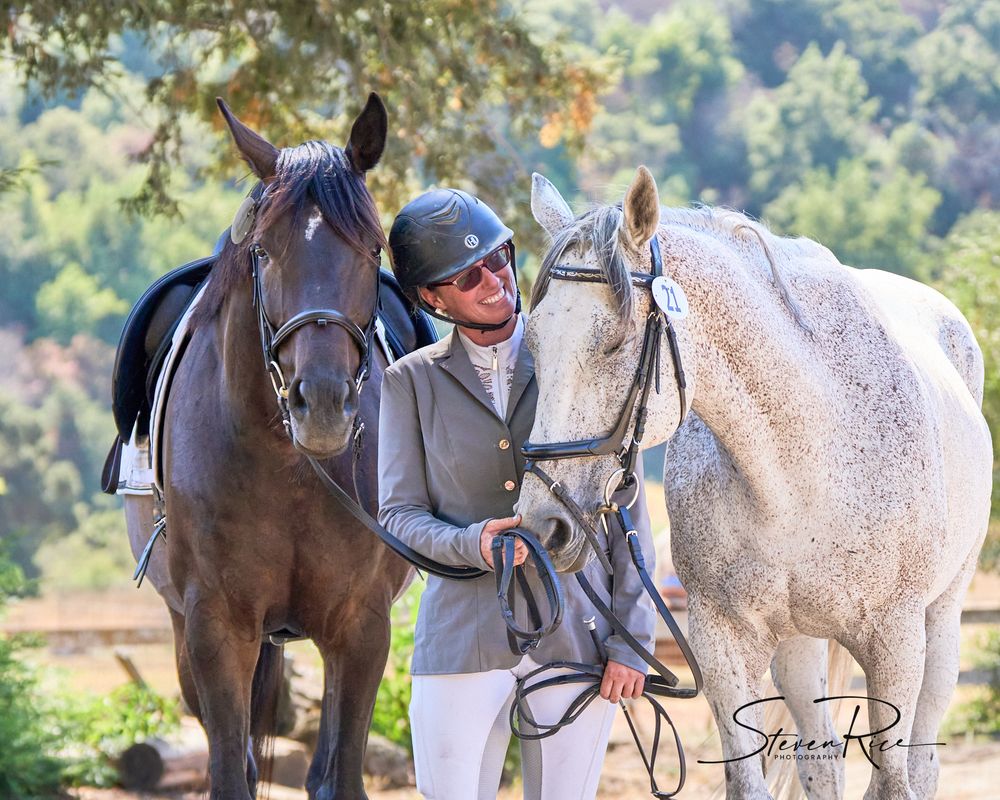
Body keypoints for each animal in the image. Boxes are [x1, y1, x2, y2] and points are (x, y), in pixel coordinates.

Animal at [123, 95, 411, 800]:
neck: (290, 470)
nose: (324, 404)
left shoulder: (362, 627)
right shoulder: (216, 627)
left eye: (373, 247)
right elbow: (231, 774)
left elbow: (342, 778)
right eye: (264, 251)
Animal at [516, 166, 992, 800]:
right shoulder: (722, 642)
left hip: (940, 622)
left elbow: (894, 781)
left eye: (615, 342)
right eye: (534, 343)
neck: (802, 463)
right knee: (822, 759)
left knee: (921, 762)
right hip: (798, 643)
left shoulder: (894, 643)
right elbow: (750, 780)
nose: (541, 525)